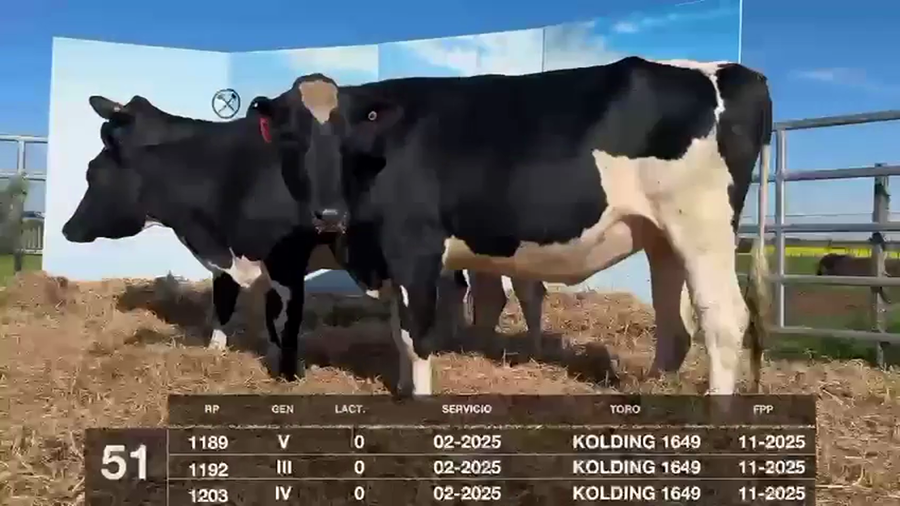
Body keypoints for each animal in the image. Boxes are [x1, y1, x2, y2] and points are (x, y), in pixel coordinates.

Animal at [60, 94, 542, 392]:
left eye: (93, 172)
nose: (67, 230)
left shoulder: (286, 258)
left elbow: (280, 314)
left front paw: (286, 371)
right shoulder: (234, 256)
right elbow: (226, 305)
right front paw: (219, 353)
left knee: (517, 291)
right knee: (490, 293)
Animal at [252, 55, 773, 399]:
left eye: (346, 137)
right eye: (290, 137)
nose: (328, 214)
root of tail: (734, 71)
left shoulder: (414, 248)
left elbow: (417, 333)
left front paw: (417, 397)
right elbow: (400, 331)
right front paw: (399, 387)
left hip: (704, 227)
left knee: (723, 317)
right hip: (663, 235)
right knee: (674, 319)